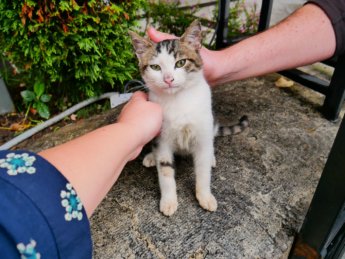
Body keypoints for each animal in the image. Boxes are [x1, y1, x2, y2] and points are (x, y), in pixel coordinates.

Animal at [127, 20, 246, 217]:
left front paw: (205, 196)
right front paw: (168, 201)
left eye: (181, 63)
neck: (178, 100)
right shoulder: (162, 137)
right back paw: (151, 156)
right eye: (155, 67)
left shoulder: (202, 131)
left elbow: (203, 171)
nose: (168, 79)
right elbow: (165, 170)